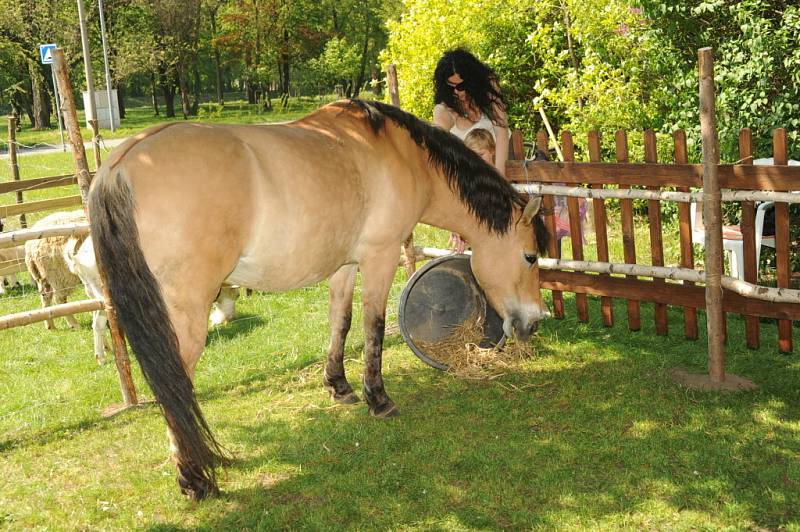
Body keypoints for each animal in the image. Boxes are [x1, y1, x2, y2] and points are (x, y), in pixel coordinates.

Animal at [87, 98, 552, 498]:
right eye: (530, 256)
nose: (533, 322)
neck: (400, 153)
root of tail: (119, 166)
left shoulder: (344, 266)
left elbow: (340, 322)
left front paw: (338, 386)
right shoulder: (380, 257)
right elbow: (373, 327)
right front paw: (378, 399)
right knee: (174, 384)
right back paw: (194, 478)